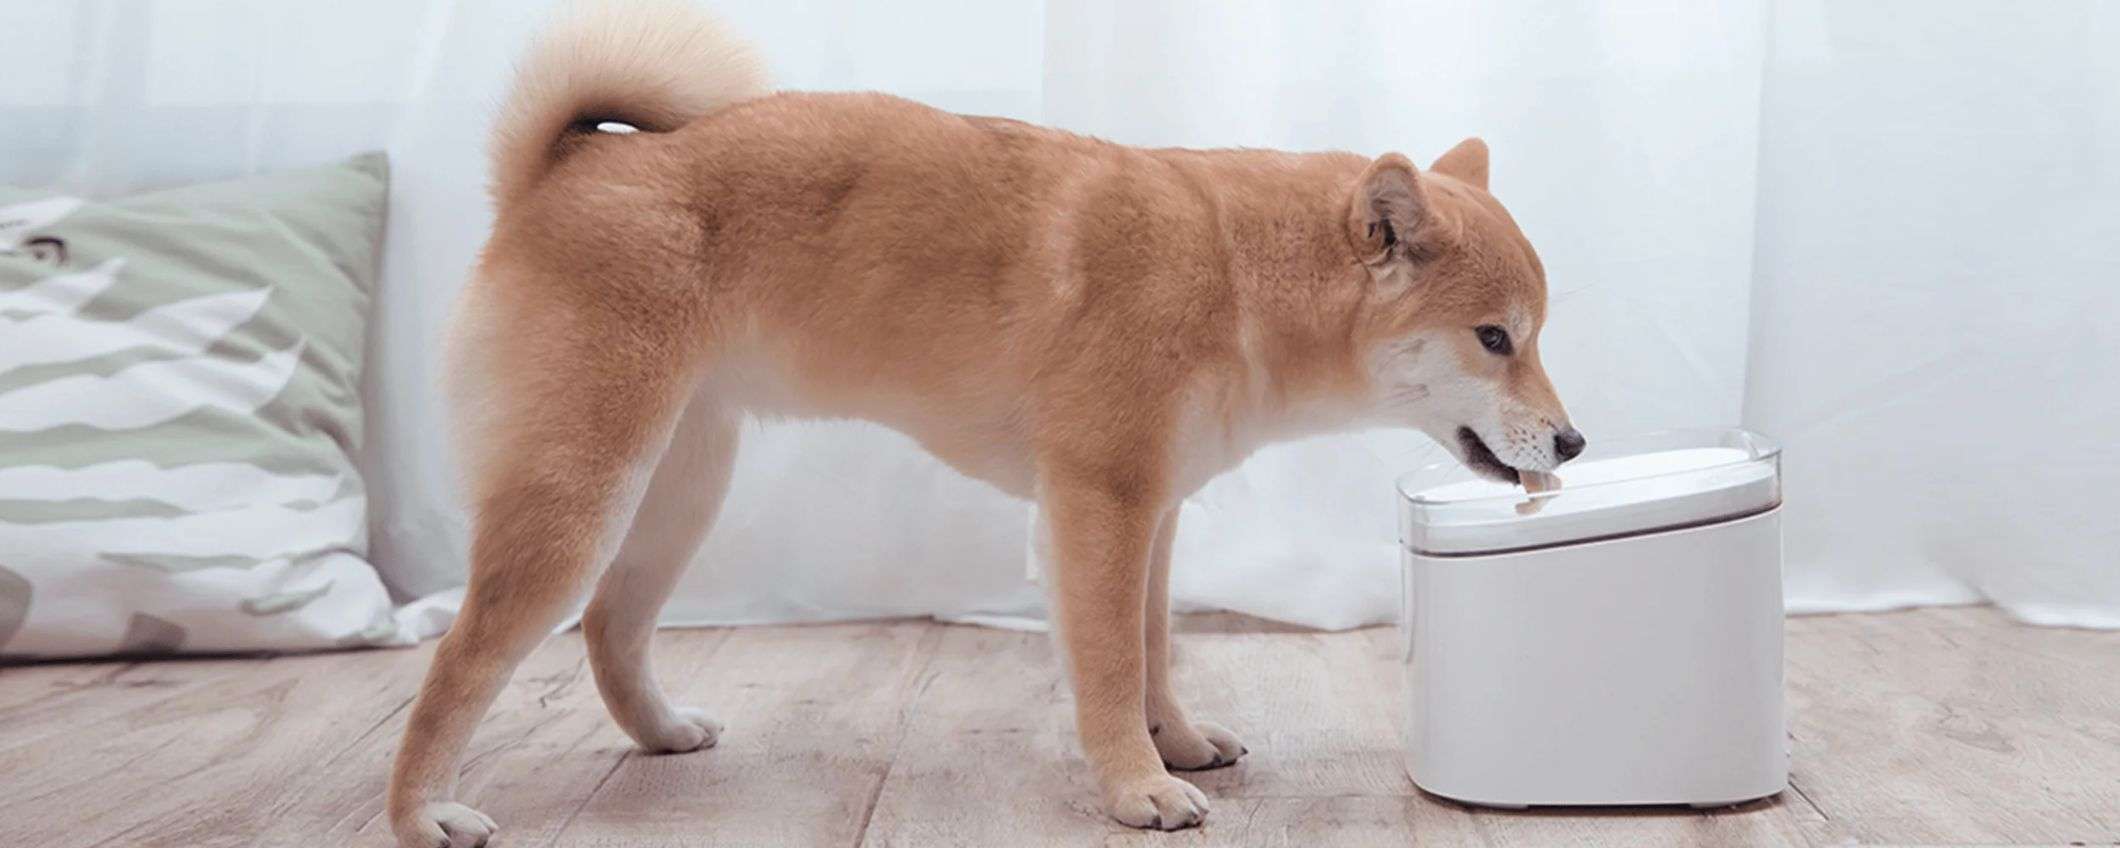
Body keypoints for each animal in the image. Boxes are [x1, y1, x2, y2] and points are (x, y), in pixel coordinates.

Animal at [388, 2, 1581, 844]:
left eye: (1532, 335)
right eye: (1494, 338)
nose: (1570, 442)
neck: (1237, 274)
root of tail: (569, 166)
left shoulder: (1151, 514)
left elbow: (1154, 652)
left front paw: (1179, 743)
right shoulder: (1098, 506)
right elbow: (1108, 666)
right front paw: (1137, 786)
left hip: (679, 486)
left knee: (609, 625)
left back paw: (664, 732)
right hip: (582, 492)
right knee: (461, 657)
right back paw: (419, 811)